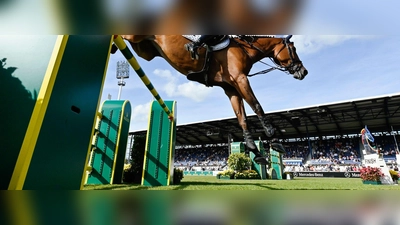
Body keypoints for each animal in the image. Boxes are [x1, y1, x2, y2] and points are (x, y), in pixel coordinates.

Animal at [114, 35, 308, 165]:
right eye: (294, 49)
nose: (303, 72)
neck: (245, 48)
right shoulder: (241, 79)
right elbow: (257, 106)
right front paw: (274, 138)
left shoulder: (231, 88)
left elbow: (242, 119)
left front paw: (255, 151)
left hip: (144, 50)